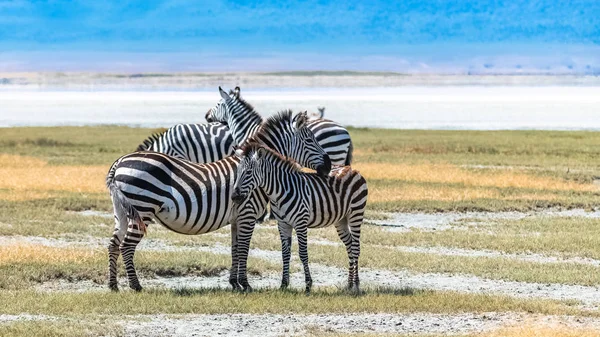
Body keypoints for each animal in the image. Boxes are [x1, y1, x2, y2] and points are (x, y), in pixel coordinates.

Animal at [105, 111, 330, 290]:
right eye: (310, 140)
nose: (328, 166)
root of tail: (120, 162)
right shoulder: (247, 214)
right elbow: (244, 248)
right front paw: (245, 284)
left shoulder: (237, 218)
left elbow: (235, 248)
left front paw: (234, 283)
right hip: (142, 209)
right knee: (127, 246)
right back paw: (136, 286)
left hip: (122, 211)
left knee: (114, 243)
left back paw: (113, 285)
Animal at [231, 143, 368, 292]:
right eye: (237, 172)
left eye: (249, 172)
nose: (234, 197)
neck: (279, 192)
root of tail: (351, 169)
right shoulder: (283, 224)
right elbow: (285, 253)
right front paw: (284, 284)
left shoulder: (300, 222)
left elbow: (303, 253)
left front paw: (308, 285)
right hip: (341, 219)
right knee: (349, 246)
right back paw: (349, 284)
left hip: (356, 213)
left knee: (356, 247)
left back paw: (356, 284)